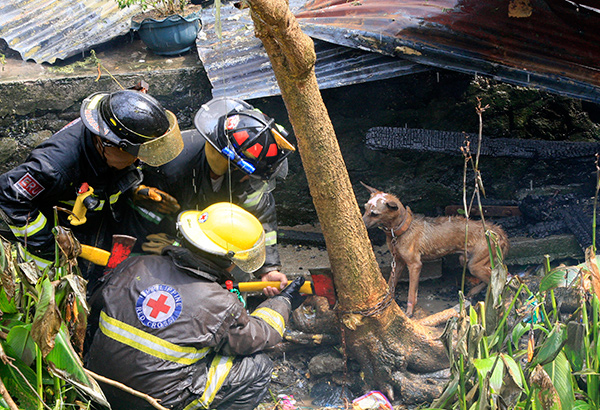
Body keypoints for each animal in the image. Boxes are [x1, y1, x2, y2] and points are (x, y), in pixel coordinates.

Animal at [360, 183, 506, 318]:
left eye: (374, 214)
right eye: (365, 208)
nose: (362, 223)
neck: (402, 230)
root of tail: (497, 232)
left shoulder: (415, 265)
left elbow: (411, 293)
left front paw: (409, 312)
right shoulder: (398, 262)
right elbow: (390, 285)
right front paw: (385, 302)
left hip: (474, 265)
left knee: (498, 279)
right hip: (465, 260)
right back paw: (474, 291)